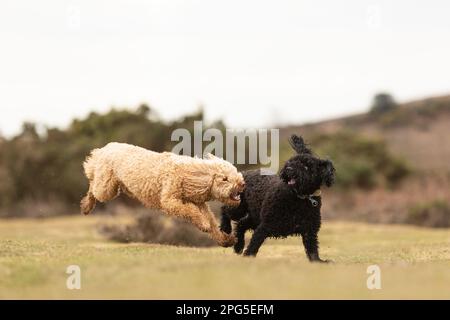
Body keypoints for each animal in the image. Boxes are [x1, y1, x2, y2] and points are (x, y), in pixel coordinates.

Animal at [80, 144, 243, 246]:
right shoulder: (169, 200)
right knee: (93, 187)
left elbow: (212, 222)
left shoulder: (200, 203)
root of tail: (104, 149)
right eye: (225, 179)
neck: (188, 175)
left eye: (235, 173)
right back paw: (86, 206)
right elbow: (190, 211)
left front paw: (226, 240)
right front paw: (203, 225)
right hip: (106, 188)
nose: (242, 183)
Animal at [220, 134, 336, 262]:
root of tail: (244, 173)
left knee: (241, 224)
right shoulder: (265, 226)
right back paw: (225, 229)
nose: (289, 169)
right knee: (224, 210)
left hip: (254, 217)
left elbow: (313, 250)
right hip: (239, 208)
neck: (300, 198)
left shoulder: (309, 231)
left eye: (306, 166)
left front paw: (319, 262)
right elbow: (255, 243)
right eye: (292, 161)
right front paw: (249, 256)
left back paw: (238, 246)